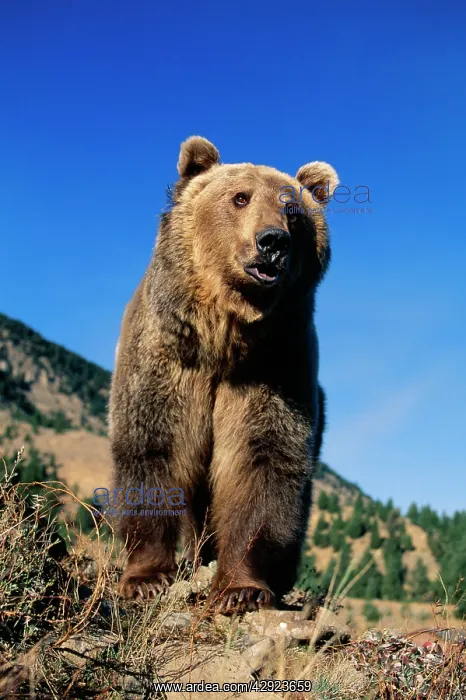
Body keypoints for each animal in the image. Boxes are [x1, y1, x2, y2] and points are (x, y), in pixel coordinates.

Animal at [108, 136, 338, 614]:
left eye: (293, 210)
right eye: (240, 197)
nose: (272, 241)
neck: (224, 337)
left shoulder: (272, 370)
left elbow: (260, 463)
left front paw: (241, 588)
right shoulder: (168, 361)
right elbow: (152, 448)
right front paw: (146, 578)